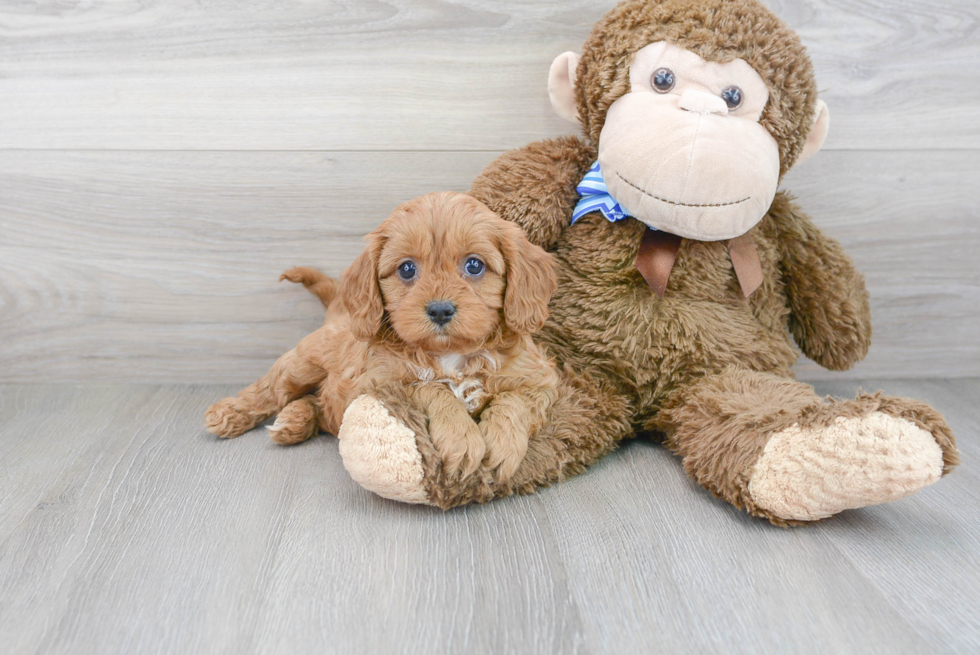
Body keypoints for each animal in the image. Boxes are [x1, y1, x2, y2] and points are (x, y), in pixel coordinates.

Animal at [205, 191, 560, 482]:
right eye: (406, 269)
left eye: (474, 265)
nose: (440, 310)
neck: (451, 355)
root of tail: (340, 313)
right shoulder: (377, 385)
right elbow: (431, 388)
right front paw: (461, 438)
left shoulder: (541, 381)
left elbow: (515, 400)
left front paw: (501, 443)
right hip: (300, 365)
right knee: (270, 390)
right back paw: (230, 413)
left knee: (318, 404)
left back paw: (294, 420)